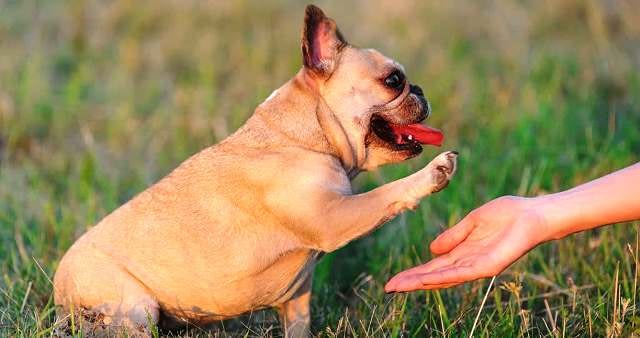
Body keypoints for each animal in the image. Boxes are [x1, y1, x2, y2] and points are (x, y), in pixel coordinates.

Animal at [53, 4, 456, 336]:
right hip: (136, 308)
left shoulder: (298, 297)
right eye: (393, 81)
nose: (420, 89)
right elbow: (386, 194)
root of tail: (59, 288)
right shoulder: (333, 217)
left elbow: (298, 326)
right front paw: (433, 172)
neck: (304, 134)